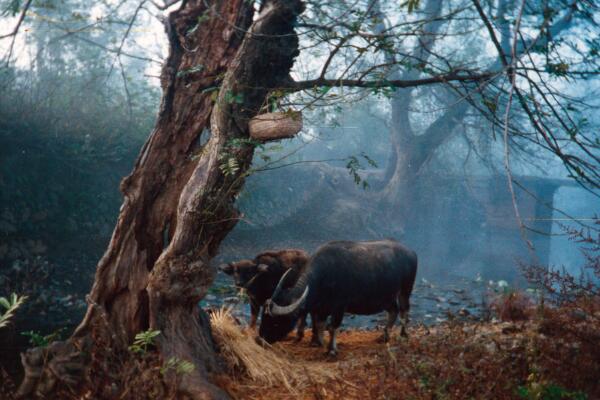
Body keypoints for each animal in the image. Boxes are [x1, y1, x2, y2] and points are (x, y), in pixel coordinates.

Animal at [258, 239, 418, 354]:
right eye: (264, 318)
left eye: (277, 322)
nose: (259, 339)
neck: (324, 276)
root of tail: (411, 252)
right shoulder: (320, 308)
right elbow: (320, 324)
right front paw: (319, 343)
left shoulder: (340, 307)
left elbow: (332, 327)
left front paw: (332, 349)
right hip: (386, 297)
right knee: (394, 310)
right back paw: (383, 336)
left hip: (405, 289)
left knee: (404, 310)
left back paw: (403, 335)